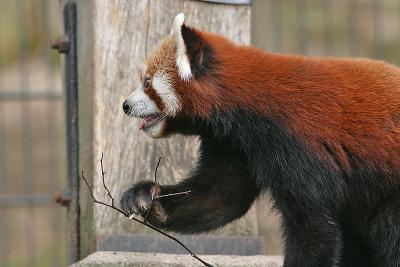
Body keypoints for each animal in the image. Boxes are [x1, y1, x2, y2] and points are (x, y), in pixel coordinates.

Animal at [121, 13, 400, 267]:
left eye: (147, 82)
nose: (125, 105)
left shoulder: (300, 147)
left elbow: (314, 229)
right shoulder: (233, 144)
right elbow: (219, 196)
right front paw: (146, 197)